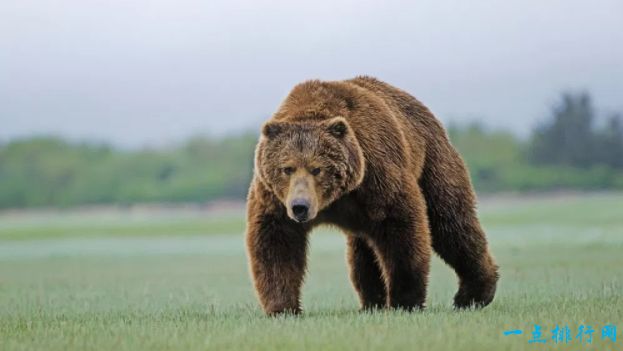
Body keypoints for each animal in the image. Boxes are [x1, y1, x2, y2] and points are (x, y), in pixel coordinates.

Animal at [246, 75, 500, 314]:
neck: (335, 199)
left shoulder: (377, 175)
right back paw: (371, 302)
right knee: (363, 252)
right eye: (287, 168)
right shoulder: (275, 199)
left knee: (451, 223)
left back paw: (473, 294)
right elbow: (276, 242)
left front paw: (405, 301)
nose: (300, 206)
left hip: (432, 162)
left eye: (317, 168)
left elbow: (402, 230)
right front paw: (282, 307)